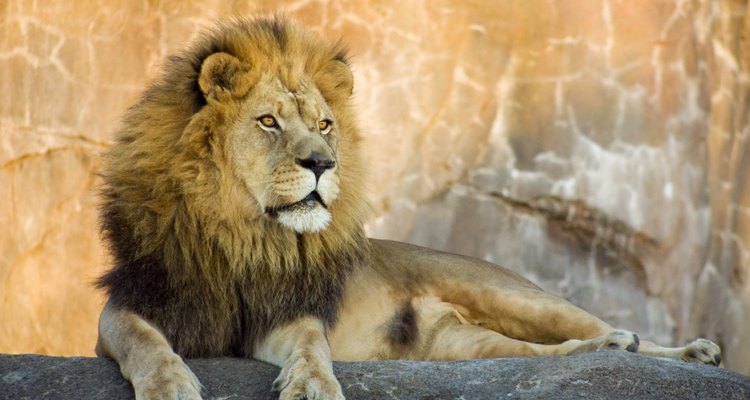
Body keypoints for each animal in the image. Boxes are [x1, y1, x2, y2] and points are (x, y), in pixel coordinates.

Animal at [95, 16, 722, 400]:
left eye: (325, 124)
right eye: (268, 121)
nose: (323, 162)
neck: (246, 232)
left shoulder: (289, 312)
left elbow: (311, 345)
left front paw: (315, 385)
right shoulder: (130, 305)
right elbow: (144, 343)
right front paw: (171, 385)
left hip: (514, 295)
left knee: (596, 330)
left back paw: (680, 351)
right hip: (460, 348)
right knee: (544, 353)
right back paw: (613, 349)